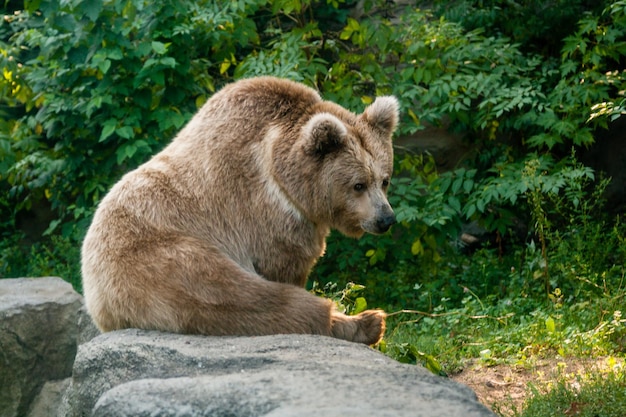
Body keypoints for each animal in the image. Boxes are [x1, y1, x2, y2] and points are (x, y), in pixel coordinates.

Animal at [80, 75, 398, 344]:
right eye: (358, 185)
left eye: (384, 179)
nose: (386, 219)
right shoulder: (263, 213)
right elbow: (283, 265)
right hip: (162, 261)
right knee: (244, 298)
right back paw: (366, 321)